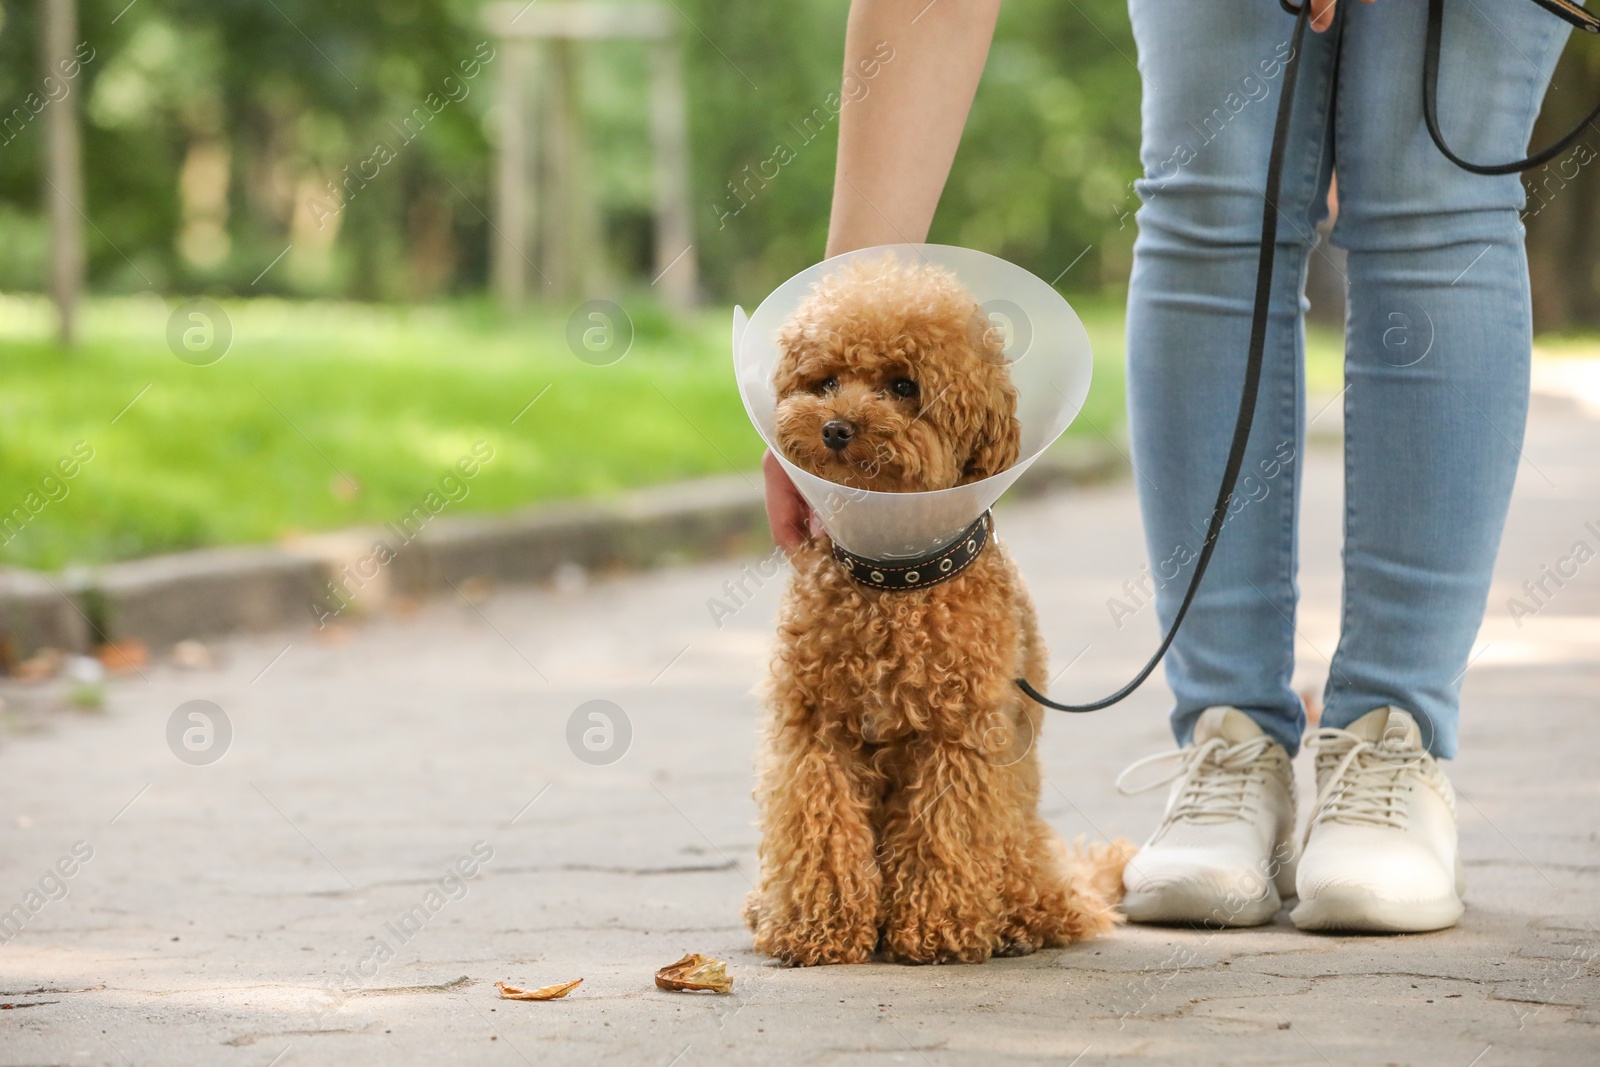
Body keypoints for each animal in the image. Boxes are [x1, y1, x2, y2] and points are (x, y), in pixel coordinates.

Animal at [742, 259, 1132, 966]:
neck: (893, 578)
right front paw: (817, 925)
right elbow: (818, 824)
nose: (835, 427)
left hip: (1022, 841)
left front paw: (936, 927)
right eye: (825, 380)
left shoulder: (957, 736)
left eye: (904, 386)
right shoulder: (814, 731)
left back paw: (1018, 921)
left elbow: (942, 831)